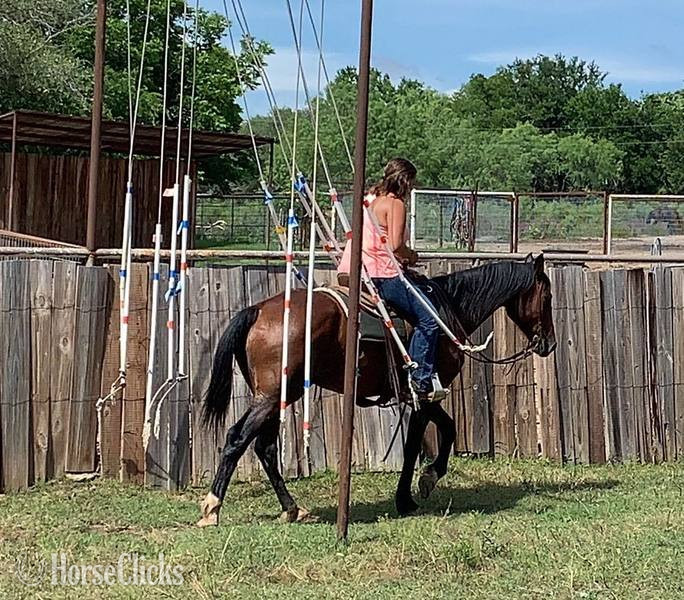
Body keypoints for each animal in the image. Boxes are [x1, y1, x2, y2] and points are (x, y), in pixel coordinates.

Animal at [196, 254, 556, 526]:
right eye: (548, 297)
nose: (550, 344)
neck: (446, 311)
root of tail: (258, 310)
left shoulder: (417, 397)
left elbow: (437, 432)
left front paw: (415, 488)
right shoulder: (424, 394)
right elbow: (428, 439)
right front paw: (418, 487)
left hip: (277, 396)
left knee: (266, 448)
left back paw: (292, 508)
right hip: (274, 395)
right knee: (237, 438)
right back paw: (212, 508)